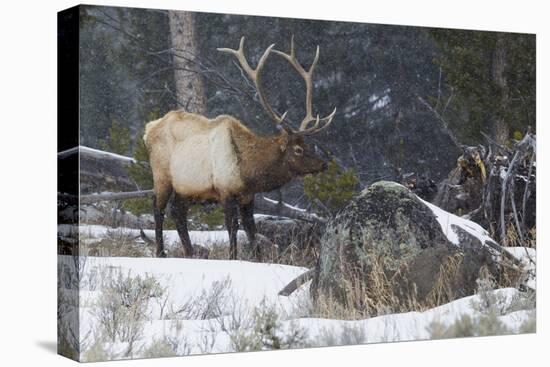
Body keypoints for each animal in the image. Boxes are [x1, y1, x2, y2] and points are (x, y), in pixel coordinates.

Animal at [144, 36, 338, 262]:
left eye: (307, 145)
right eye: (298, 149)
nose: (323, 164)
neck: (247, 171)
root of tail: (148, 129)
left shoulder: (247, 196)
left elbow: (251, 229)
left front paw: (257, 258)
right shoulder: (225, 191)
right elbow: (232, 227)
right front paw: (233, 257)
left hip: (187, 187)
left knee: (177, 212)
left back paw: (190, 253)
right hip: (162, 176)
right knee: (158, 209)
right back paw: (161, 253)